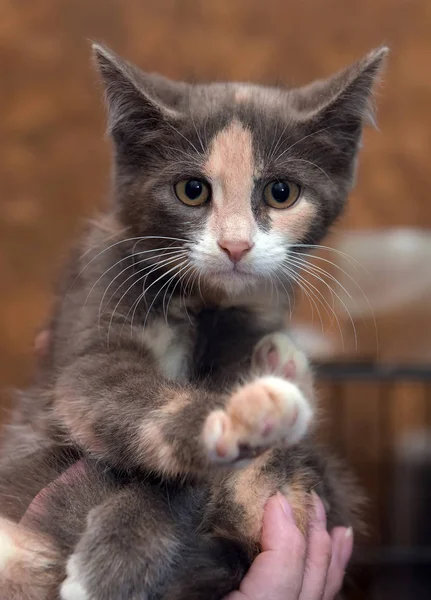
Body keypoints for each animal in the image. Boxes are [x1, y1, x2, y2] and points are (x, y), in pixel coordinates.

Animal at [0, 43, 388, 600]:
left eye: (281, 192)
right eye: (191, 190)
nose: (235, 245)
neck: (203, 302)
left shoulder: (252, 317)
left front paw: (113, 560)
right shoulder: (91, 319)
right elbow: (126, 399)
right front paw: (232, 418)